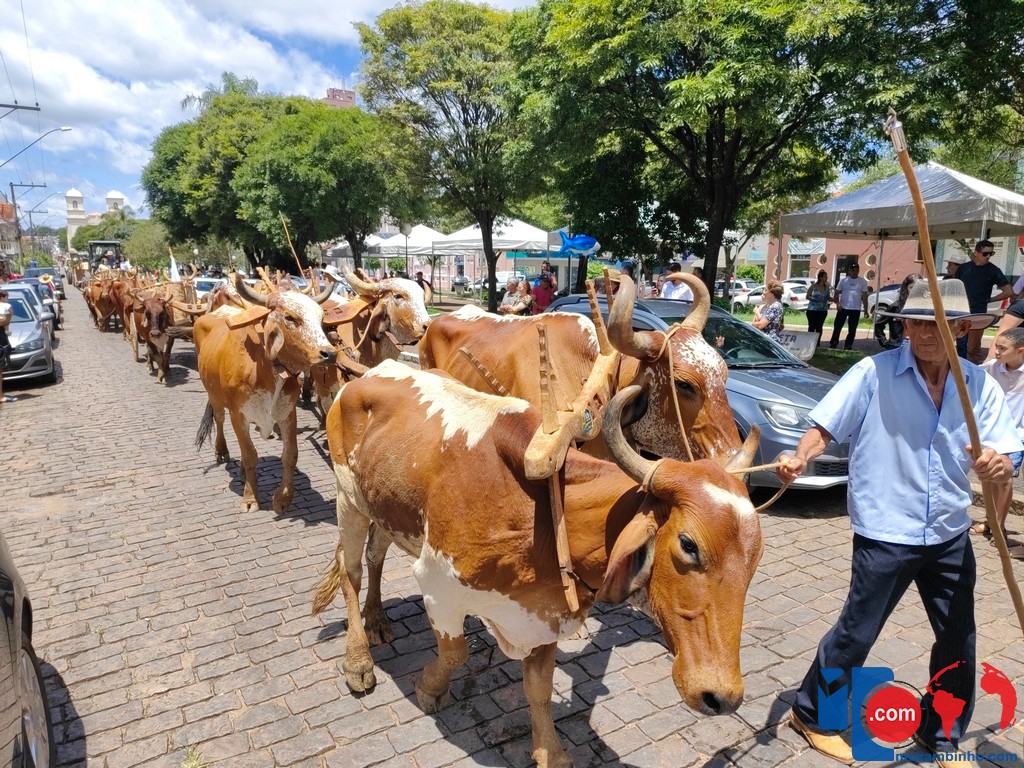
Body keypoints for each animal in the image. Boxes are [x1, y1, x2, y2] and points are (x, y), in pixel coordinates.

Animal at [193, 275, 336, 513]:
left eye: (321, 317)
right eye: (290, 317)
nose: (330, 353)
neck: (265, 367)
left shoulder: (287, 413)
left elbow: (290, 455)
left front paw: (283, 499)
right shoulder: (238, 415)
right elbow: (250, 455)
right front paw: (250, 498)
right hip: (215, 397)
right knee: (220, 420)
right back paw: (222, 451)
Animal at [312, 361, 763, 768]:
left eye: (756, 557)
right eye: (688, 545)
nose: (722, 696)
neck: (545, 513)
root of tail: (369, 373)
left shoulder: (546, 612)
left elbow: (539, 689)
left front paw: (551, 752)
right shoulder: (438, 585)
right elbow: (456, 651)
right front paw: (429, 688)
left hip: (384, 506)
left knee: (376, 553)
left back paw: (377, 619)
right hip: (348, 499)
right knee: (351, 570)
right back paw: (358, 659)